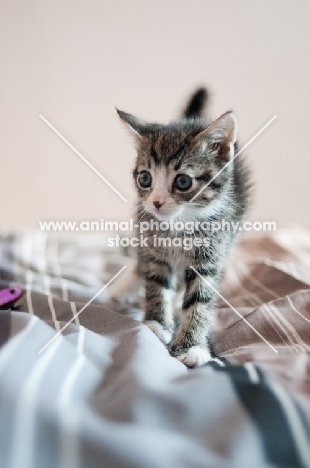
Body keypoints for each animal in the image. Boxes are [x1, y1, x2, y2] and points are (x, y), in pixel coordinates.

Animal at [112, 87, 248, 366]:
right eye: (145, 178)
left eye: (183, 181)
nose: (156, 202)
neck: (179, 224)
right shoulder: (153, 244)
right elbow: (156, 282)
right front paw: (156, 324)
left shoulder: (211, 252)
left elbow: (200, 300)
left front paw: (191, 346)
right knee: (141, 262)